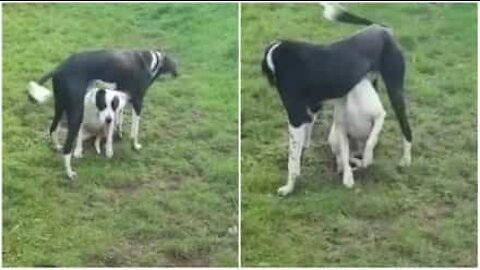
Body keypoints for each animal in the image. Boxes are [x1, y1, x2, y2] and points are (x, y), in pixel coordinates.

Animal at [26, 49, 176, 178]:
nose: (176, 74)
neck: (148, 60)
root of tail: (58, 69)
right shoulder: (137, 103)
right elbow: (135, 131)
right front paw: (135, 145)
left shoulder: (119, 100)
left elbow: (118, 119)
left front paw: (118, 134)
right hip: (76, 115)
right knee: (67, 148)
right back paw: (69, 173)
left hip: (60, 107)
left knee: (53, 129)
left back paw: (57, 146)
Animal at [262, 3, 412, 195]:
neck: (278, 57)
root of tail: (382, 28)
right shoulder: (311, 111)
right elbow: (302, 147)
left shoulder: (296, 117)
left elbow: (292, 160)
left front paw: (289, 187)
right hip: (373, 86)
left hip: (395, 91)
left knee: (406, 129)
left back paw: (405, 160)